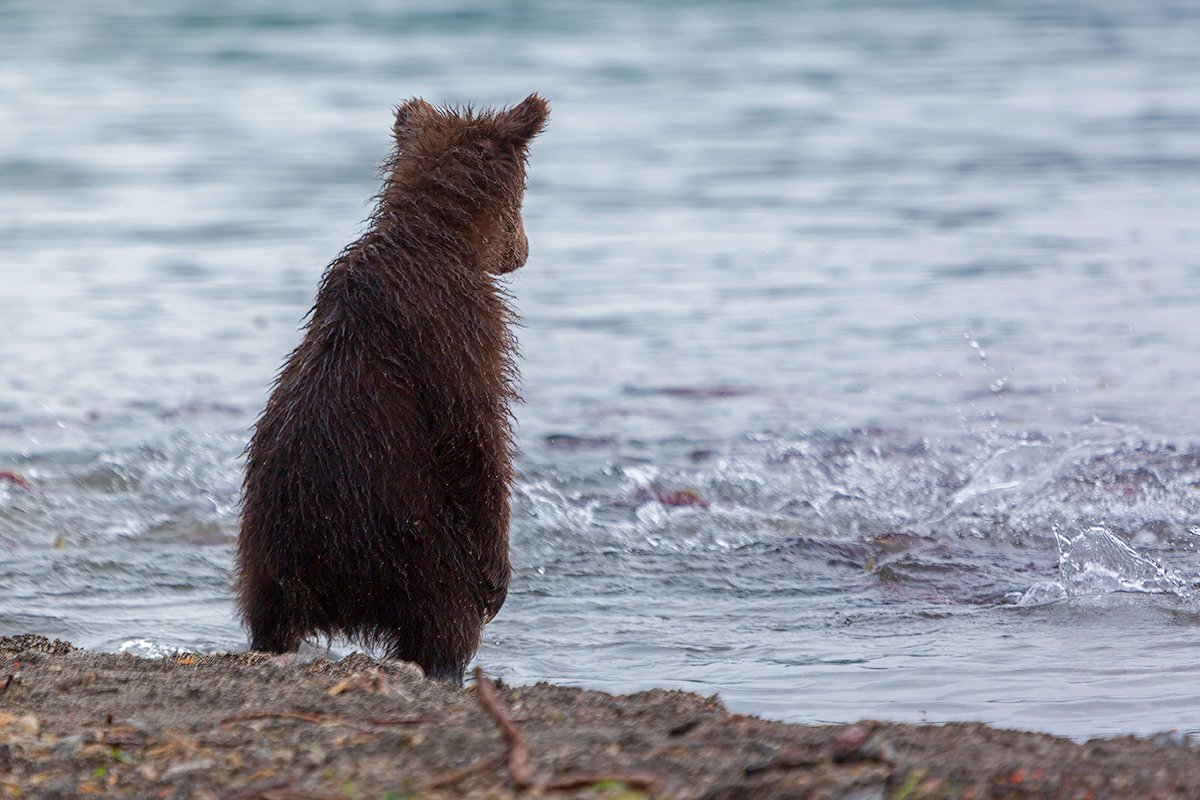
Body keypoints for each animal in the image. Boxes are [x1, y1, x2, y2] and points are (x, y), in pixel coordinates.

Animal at [235, 94, 552, 681]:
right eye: (524, 190)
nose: (524, 250)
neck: (439, 239)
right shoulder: (460, 329)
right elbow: (475, 434)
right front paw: (498, 577)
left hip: (266, 552)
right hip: (410, 545)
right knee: (445, 616)